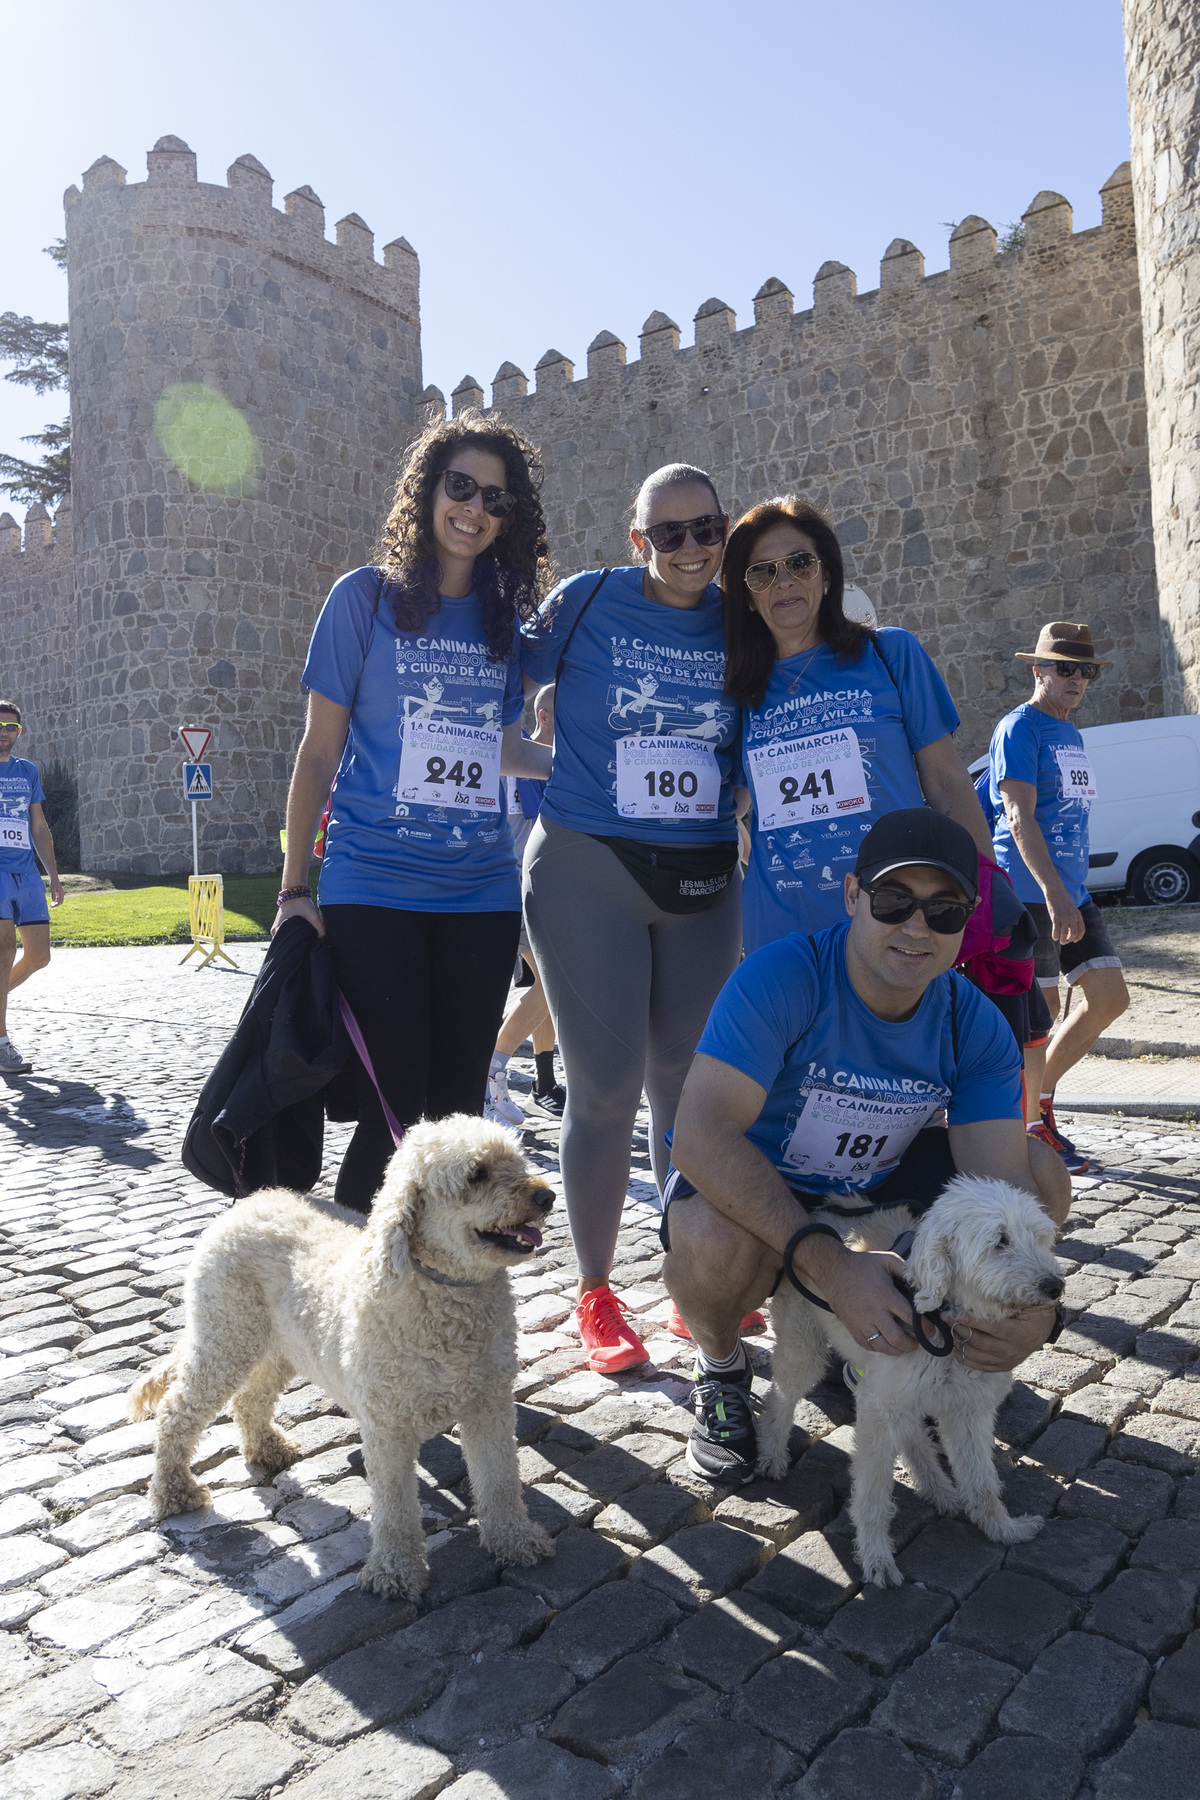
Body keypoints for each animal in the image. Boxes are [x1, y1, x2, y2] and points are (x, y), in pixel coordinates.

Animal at [129, 1108, 561, 1605]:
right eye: (477, 1173)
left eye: (517, 1160)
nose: (547, 1195)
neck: (444, 1297)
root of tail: (246, 1204)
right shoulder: (388, 1424)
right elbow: (394, 1505)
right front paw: (394, 1571)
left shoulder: (490, 1404)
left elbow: (500, 1479)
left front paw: (515, 1539)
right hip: (226, 1337)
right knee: (177, 1411)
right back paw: (173, 1492)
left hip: (279, 1346)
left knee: (250, 1399)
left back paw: (267, 1449)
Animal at [755, 1173, 1065, 1584]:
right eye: (1000, 1241)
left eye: (1039, 1237)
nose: (1055, 1286)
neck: (945, 1321)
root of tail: (822, 1211)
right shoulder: (879, 1410)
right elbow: (871, 1494)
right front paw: (876, 1558)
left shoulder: (967, 1411)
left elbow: (982, 1481)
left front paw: (1002, 1530)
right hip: (803, 1348)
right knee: (780, 1396)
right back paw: (772, 1454)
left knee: (913, 1433)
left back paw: (940, 1490)